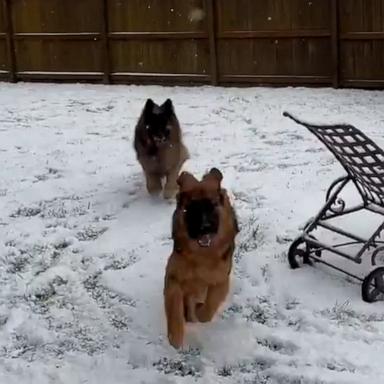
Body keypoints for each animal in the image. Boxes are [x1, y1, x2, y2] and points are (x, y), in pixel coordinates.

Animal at [164, 168, 238, 348]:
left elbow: (210, 306)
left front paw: (200, 312)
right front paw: (175, 336)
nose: (204, 228)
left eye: (211, 206)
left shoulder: (220, 280)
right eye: (192, 208)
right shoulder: (173, 279)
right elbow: (174, 307)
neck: (201, 255)